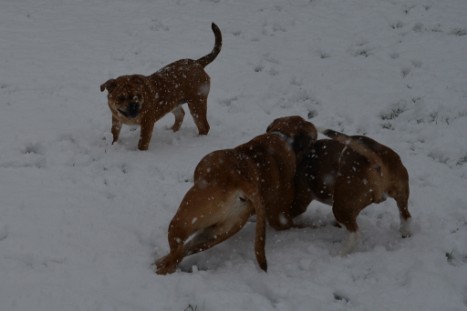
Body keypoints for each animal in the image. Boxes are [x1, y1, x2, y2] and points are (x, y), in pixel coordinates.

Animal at [99, 22, 223, 151]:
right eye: (121, 98)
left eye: (137, 96)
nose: (134, 106)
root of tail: (197, 63)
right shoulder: (116, 120)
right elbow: (114, 133)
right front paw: (112, 144)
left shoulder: (147, 122)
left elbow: (142, 142)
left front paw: (139, 153)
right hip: (174, 103)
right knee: (181, 114)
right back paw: (172, 131)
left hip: (196, 103)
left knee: (204, 126)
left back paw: (198, 140)